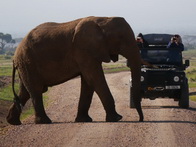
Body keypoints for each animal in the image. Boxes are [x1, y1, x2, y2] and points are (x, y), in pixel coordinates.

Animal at [6, 16, 144, 124]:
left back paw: (13, 122)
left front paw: (84, 120)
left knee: (25, 92)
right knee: (36, 90)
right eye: (121, 38)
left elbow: (88, 82)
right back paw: (44, 122)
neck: (103, 19)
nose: (140, 119)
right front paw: (117, 118)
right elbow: (95, 78)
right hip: (28, 62)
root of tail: (15, 56)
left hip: (26, 65)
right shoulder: (84, 50)